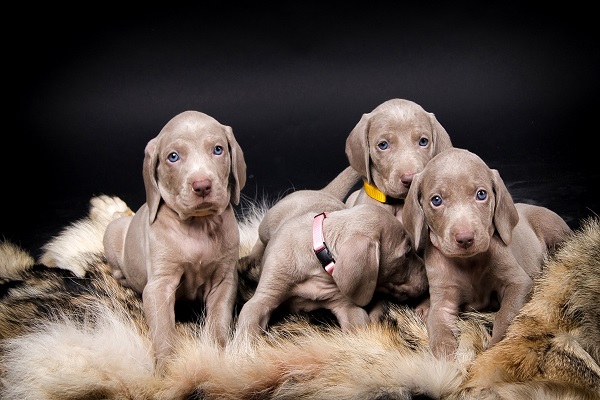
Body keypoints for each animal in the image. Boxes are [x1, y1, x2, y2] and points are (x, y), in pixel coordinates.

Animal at [103, 109, 246, 372]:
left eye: (218, 150)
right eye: (173, 157)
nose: (202, 186)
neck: (198, 226)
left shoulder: (224, 281)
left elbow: (218, 320)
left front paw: (216, 356)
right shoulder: (159, 286)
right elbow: (163, 329)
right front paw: (167, 369)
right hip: (113, 229)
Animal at [237, 203, 428, 338]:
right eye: (406, 253)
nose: (428, 275)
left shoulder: (349, 306)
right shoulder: (261, 300)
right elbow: (248, 329)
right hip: (267, 225)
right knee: (260, 240)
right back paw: (252, 257)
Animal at [404, 148, 572, 360]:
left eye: (481, 194)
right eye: (436, 200)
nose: (465, 238)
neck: (469, 262)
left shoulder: (517, 283)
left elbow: (505, 316)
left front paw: (492, 351)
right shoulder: (442, 301)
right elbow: (440, 332)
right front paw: (447, 361)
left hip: (555, 230)